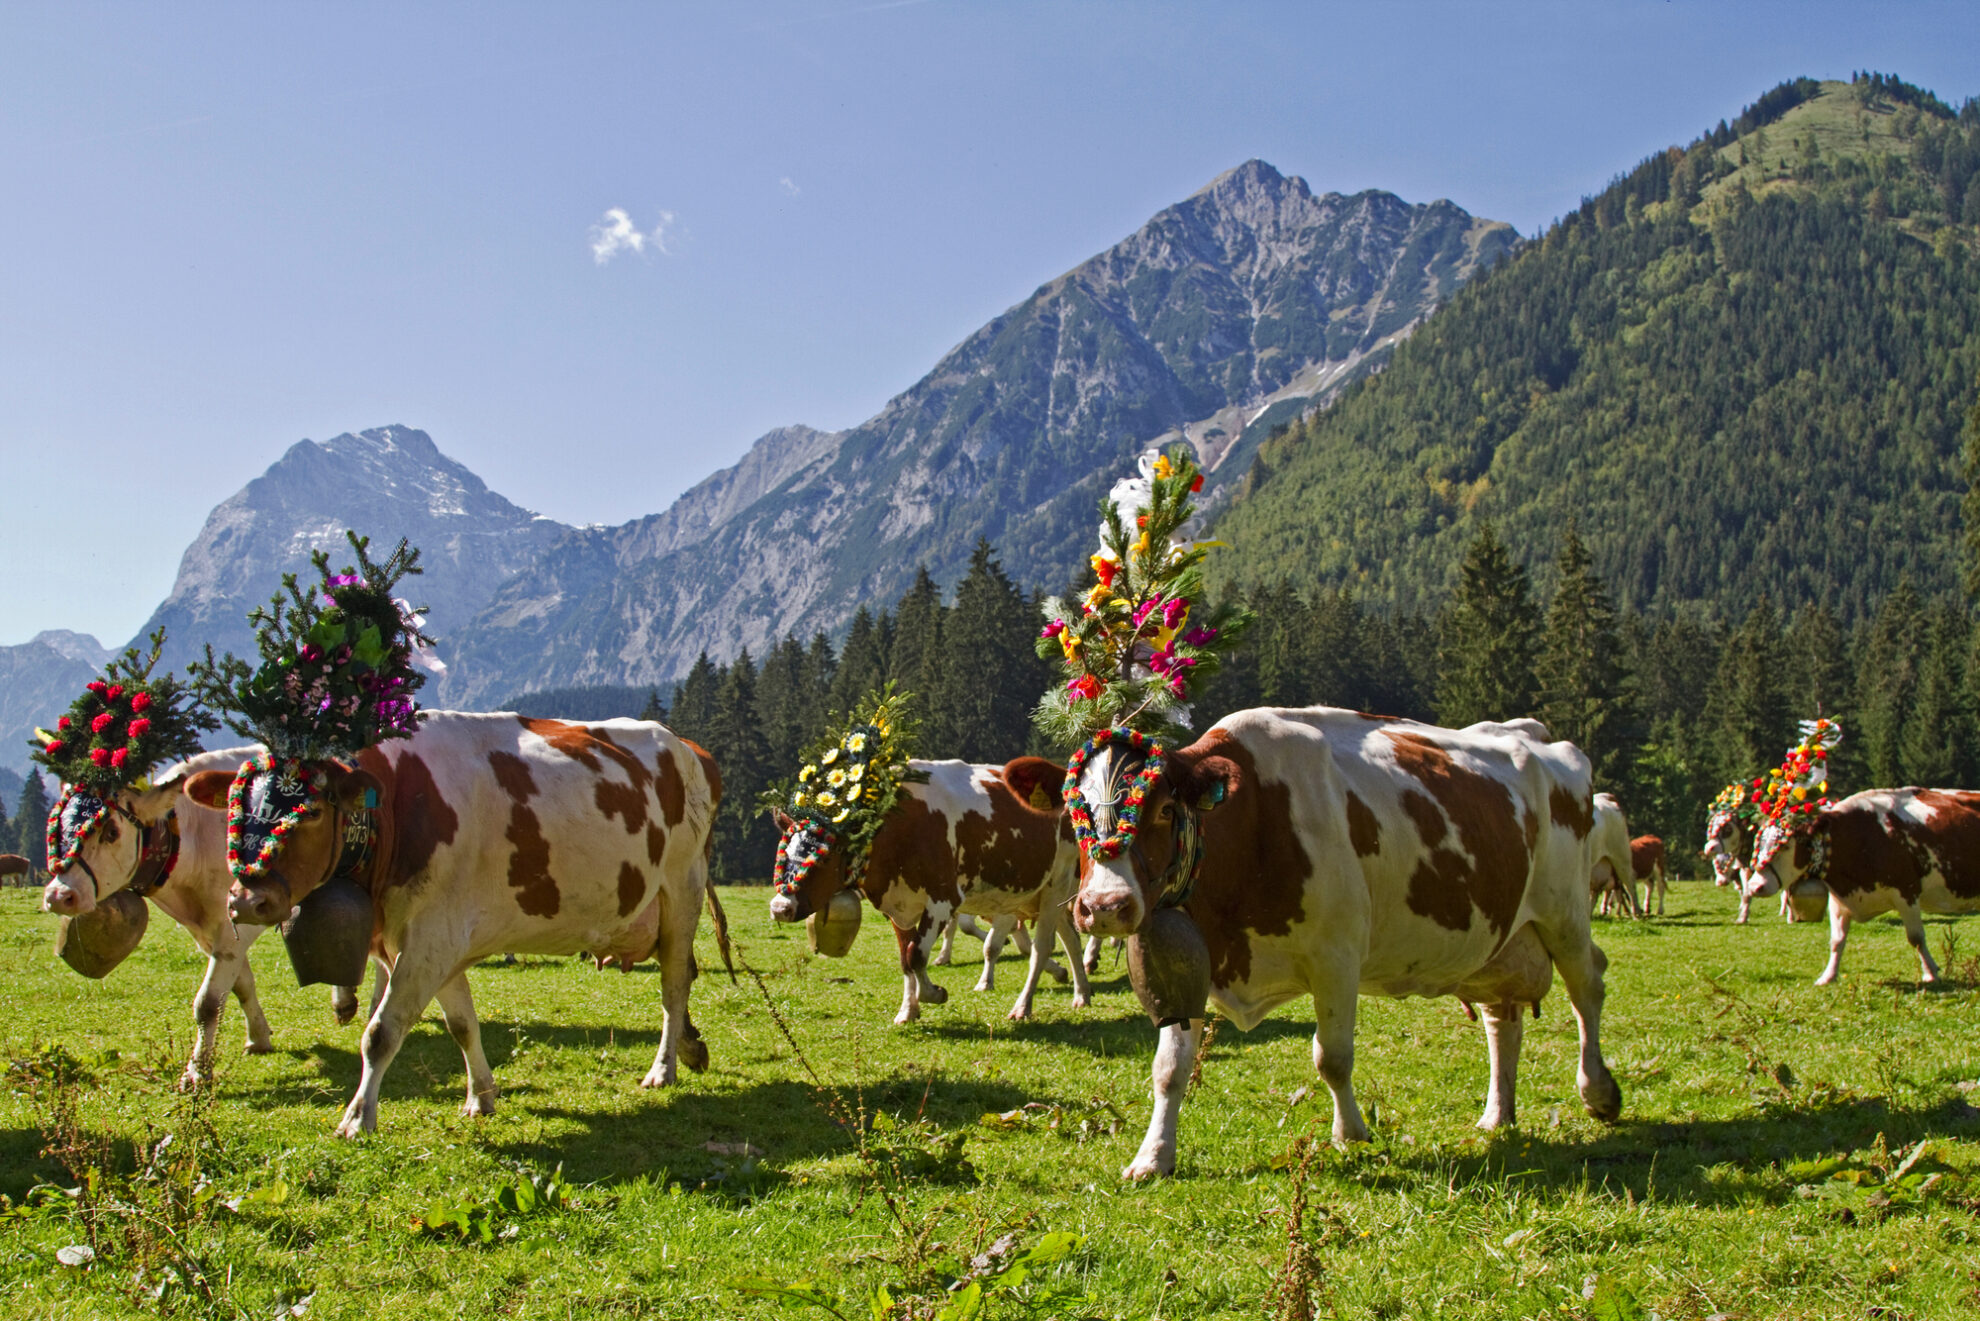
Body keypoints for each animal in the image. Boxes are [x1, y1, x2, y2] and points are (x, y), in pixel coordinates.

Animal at [36, 746, 367, 1089]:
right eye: (55, 826)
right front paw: (258, 1037)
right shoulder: (213, 929)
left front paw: (197, 1071)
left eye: (111, 831)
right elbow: (241, 985)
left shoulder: (238, 921)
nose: (59, 896)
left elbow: (208, 1001)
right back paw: (344, 1002)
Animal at [184, 712, 719, 1136]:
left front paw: (358, 1118)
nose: (247, 900)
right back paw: (690, 1049)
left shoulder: (430, 937)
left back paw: (664, 1068)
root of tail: (687, 746)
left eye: (310, 811)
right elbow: (462, 1024)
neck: (395, 811)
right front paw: (481, 1095)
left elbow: (381, 1032)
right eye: (234, 809)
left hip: (681, 892)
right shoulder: (433, 942)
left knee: (674, 987)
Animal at [770, 757, 1092, 1024]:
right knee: (1071, 939)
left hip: (1056, 886)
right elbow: (905, 959)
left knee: (1042, 948)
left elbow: (916, 955)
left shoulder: (943, 898)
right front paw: (908, 1010)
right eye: (782, 853)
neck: (896, 827)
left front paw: (933, 993)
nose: (780, 908)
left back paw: (1023, 1007)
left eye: (822, 858)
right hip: (1043, 894)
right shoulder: (898, 906)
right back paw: (1081, 993)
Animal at [1069, 709, 1622, 1180]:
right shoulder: (1194, 964)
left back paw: (1599, 1092)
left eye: (1164, 808)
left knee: (1588, 987)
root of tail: (1533, 732)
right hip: (1499, 942)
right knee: (1502, 1019)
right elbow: (1168, 1068)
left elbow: (1331, 1057)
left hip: (1566, 913)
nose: (1104, 905)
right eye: (1075, 814)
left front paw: (1351, 1134)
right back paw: (1497, 1114)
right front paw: (1153, 1156)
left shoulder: (1337, 957)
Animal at [1743, 788, 1980, 985]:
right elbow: (1836, 940)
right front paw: (1828, 976)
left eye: (1784, 846)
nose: (1755, 886)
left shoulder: (1907, 891)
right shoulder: (1839, 898)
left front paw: (1930, 973)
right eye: (1758, 843)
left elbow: (1916, 938)